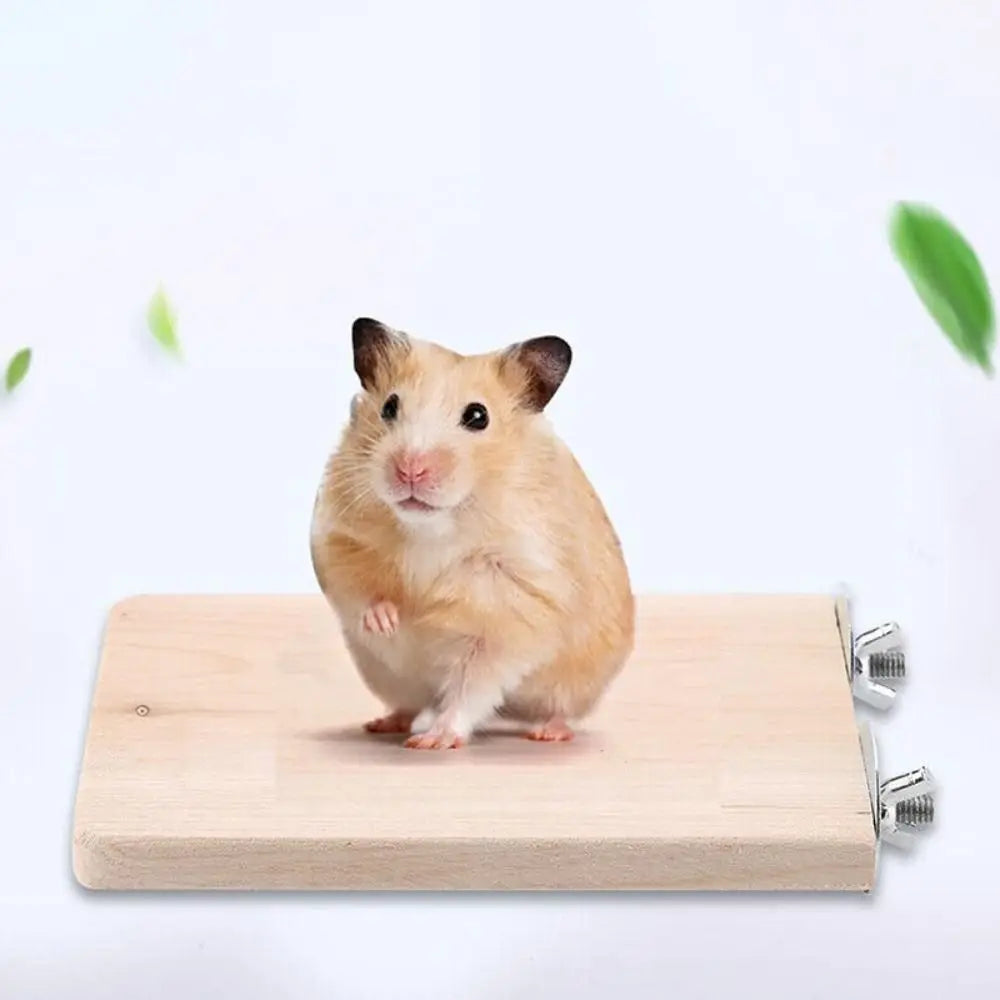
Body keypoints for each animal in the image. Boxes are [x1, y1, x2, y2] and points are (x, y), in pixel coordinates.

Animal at [310, 317, 634, 750]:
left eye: (478, 416)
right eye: (389, 406)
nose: (410, 469)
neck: (433, 527)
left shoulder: (512, 610)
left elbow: (472, 683)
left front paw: (433, 740)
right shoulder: (337, 538)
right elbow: (359, 589)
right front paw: (390, 620)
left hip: (575, 684)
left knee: (555, 708)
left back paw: (547, 733)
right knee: (409, 703)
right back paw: (383, 723)